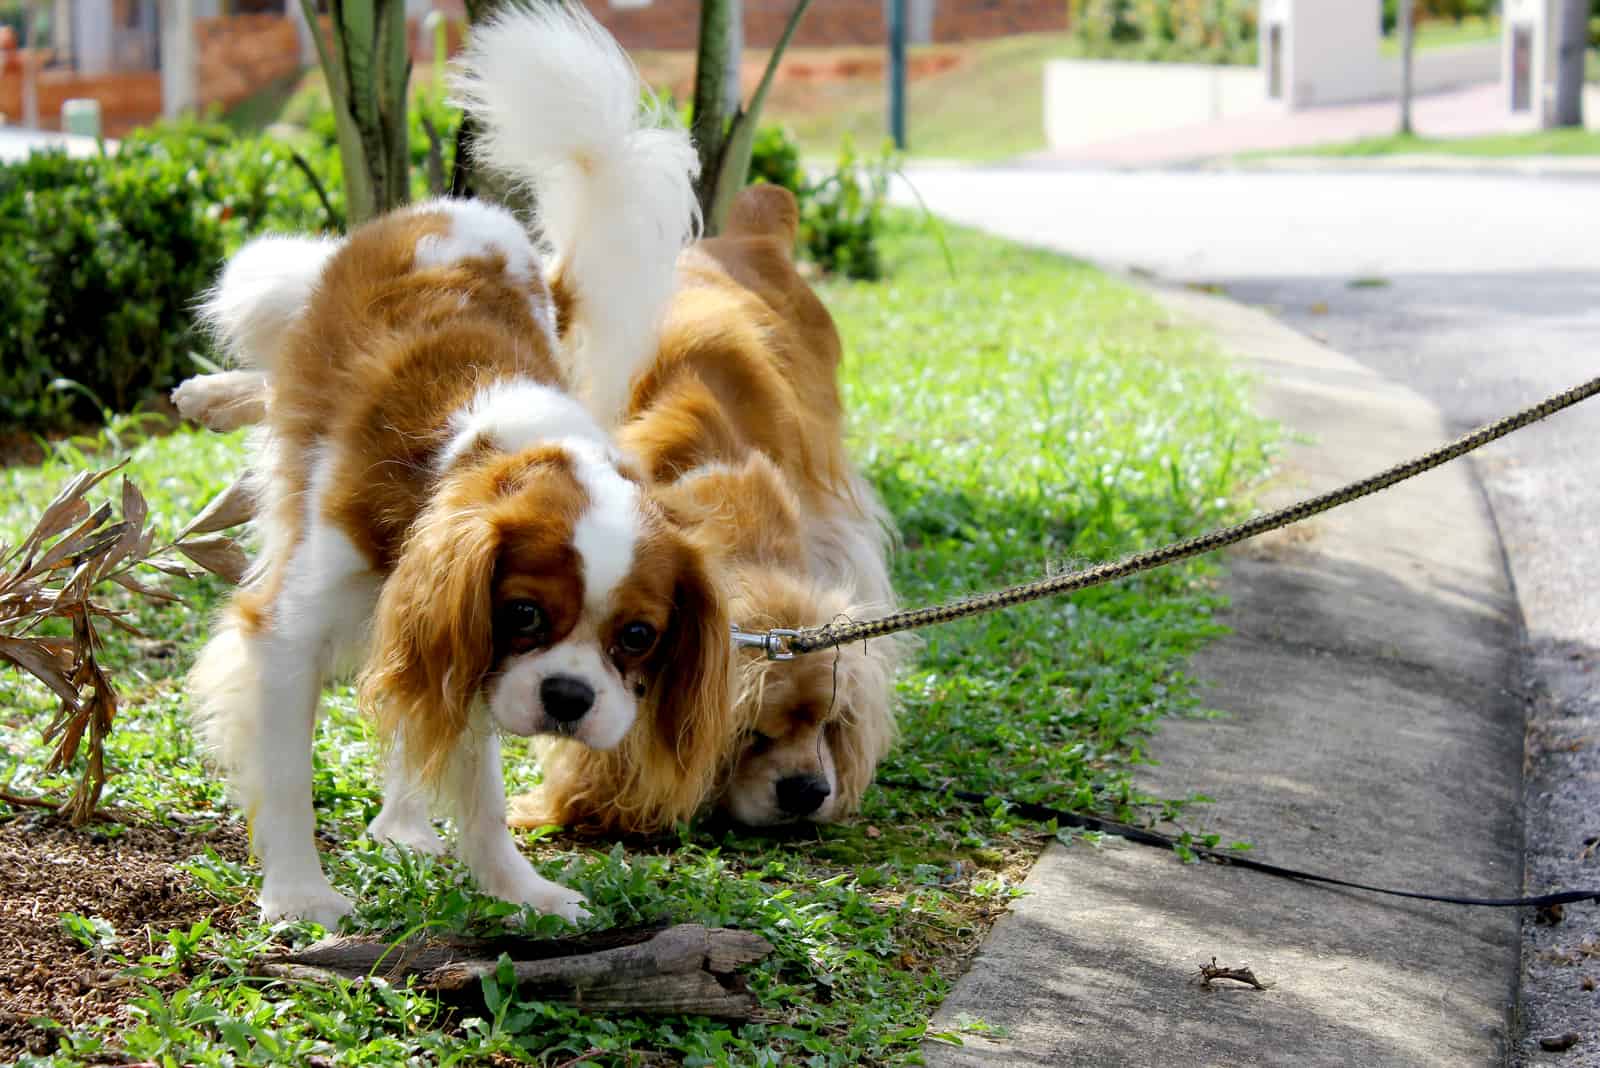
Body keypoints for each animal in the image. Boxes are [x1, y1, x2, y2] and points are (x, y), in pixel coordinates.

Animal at [180, 6, 726, 927]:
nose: (569, 699)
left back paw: (403, 827)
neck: (475, 458)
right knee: (276, 356)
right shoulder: (293, 630)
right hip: (281, 286)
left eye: (639, 637)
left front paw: (517, 889)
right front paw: (299, 896)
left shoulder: (455, 628)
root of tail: (474, 215)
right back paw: (213, 396)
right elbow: (287, 777)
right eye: (526, 613)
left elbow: (477, 788)